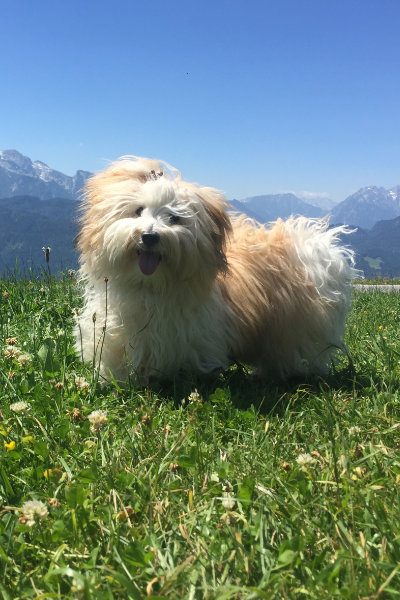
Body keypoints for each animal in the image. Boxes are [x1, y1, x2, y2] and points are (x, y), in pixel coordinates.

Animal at [76, 157, 360, 382]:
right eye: (137, 211)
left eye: (174, 218)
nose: (149, 236)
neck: (152, 286)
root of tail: (310, 246)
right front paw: (115, 378)